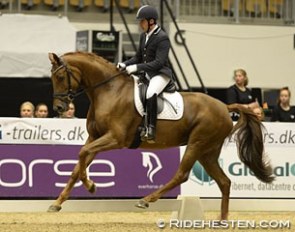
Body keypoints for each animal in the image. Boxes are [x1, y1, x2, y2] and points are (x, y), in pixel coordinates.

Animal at [48, 51, 276, 219]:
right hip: (208, 151)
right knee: (224, 182)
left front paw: (91, 186)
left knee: (182, 174)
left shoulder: (115, 138)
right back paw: (222, 220)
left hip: (197, 143)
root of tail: (224, 106)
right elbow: (79, 163)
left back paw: (146, 200)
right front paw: (58, 203)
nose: (59, 108)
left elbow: (82, 155)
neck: (109, 90)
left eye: (59, 77)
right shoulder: (95, 137)